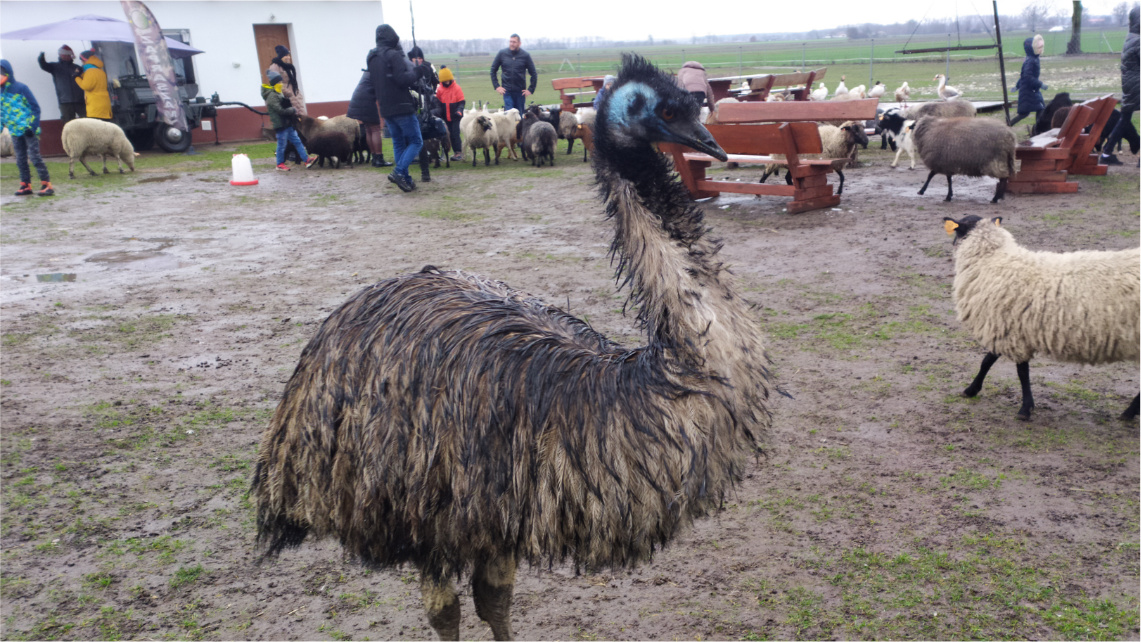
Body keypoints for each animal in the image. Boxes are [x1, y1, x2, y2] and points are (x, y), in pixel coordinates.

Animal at [246, 55, 771, 642]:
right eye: (670, 111)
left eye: (696, 106)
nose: (714, 146)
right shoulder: (443, 517)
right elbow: (447, 611)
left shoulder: (504, 523)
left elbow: (496, 600)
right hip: (392, 500)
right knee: (441, 606)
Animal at [940, 213, 1136, 419]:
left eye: (957, 230)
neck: (992, 259)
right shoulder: (1007, 328)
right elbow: (990, 361)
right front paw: (973, 389)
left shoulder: (1008, 328)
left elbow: (1017, 370)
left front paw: (1025, 408)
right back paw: (1129, 413)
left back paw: (1128, 413)